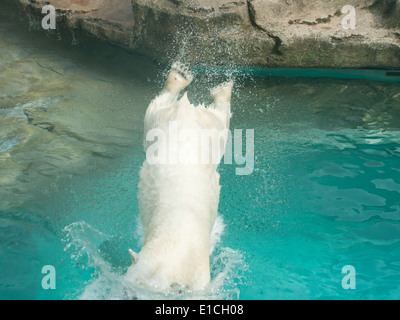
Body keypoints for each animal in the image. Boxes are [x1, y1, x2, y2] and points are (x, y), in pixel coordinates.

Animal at [124, 61, 231, 292]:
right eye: (126, 289)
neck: (176, 240)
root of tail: (186, 113)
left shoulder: (200, 276)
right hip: (162, 124)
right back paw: (181, 75)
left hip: (203, 130)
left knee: (220, 120)